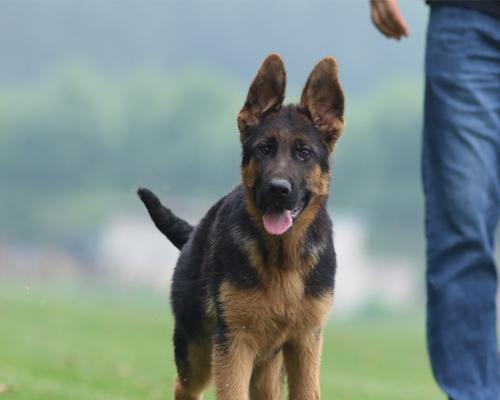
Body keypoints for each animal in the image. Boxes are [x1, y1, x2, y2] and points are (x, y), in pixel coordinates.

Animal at [139, 54, 346, 400]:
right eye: (264, 148)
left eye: (304, 152)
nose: (278, 190)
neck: (281, 259)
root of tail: (194, 234)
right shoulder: (234, 342)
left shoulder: (305, 343)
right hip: (199, 352)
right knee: (184, 386)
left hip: (267, 370)